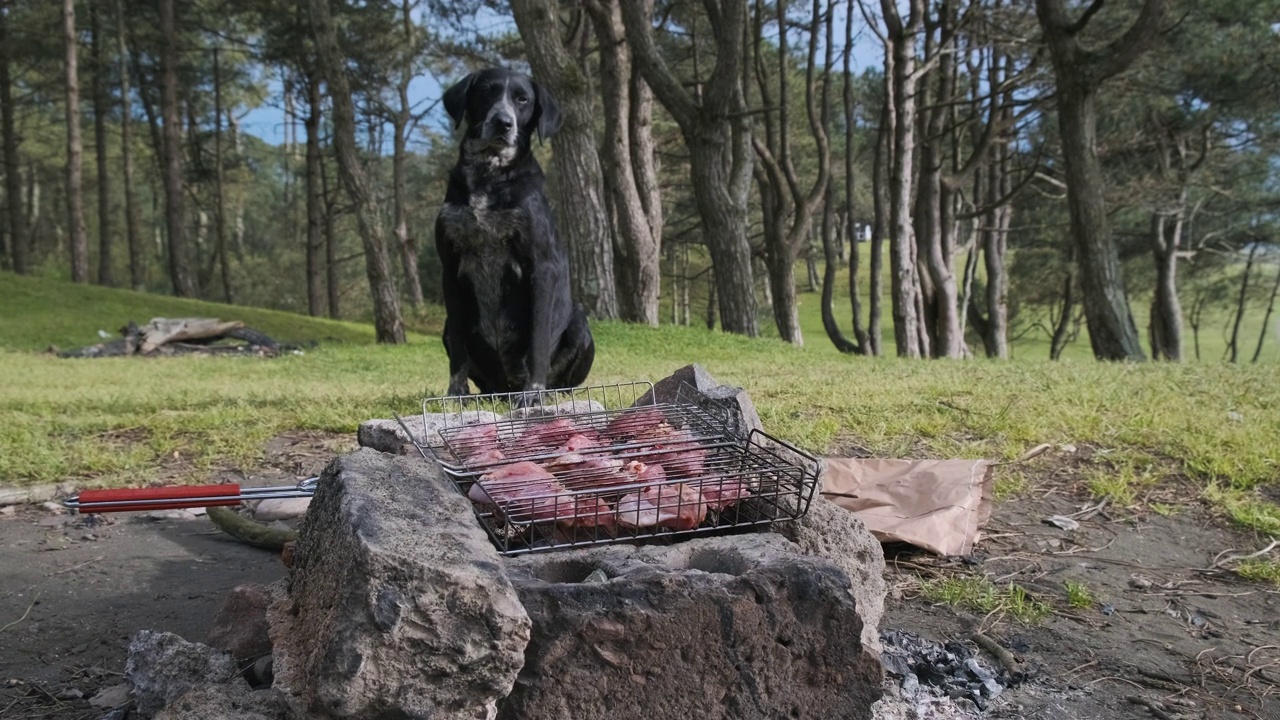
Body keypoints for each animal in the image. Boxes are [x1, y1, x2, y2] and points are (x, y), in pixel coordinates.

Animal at [430, 67, 588, 399]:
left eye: (523, 99)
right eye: (487, 91)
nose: (503, 122)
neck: (489, 174)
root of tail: (506, 388)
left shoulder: (542, 267)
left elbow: (539, 339)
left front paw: (534, 394)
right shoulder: (449, 269)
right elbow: (459, 349)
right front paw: (456, 394)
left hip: (580, 322)